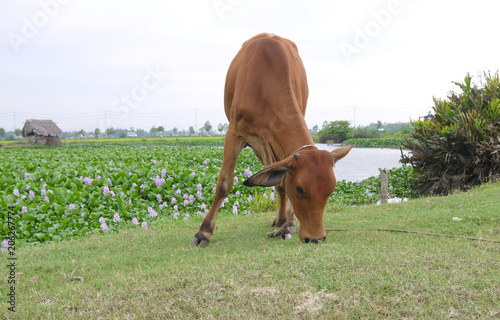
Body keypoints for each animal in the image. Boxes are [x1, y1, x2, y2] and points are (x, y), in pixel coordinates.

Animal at [191, 33, 352, 246]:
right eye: (299, 189)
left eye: (330, 190)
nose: (316, 238)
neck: (266, 83)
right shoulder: (235, 134)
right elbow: (224, 184)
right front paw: (203, 232)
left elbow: (282, 184)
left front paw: (285, 225)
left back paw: (288, 221)